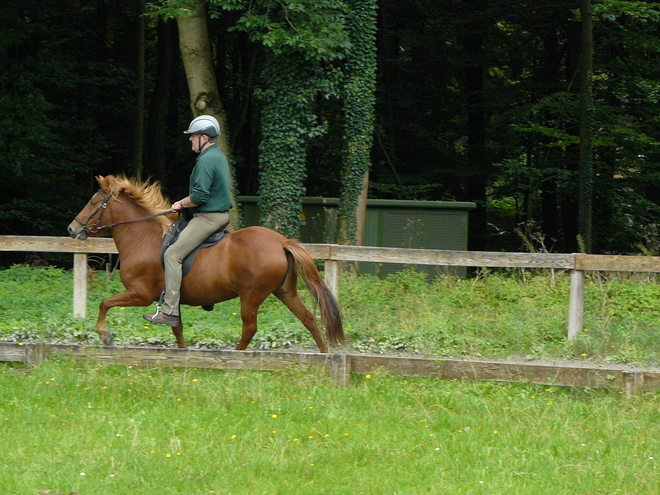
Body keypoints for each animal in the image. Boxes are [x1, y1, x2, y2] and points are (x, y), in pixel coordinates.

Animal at [67, 174, 346, 352]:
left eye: (93, 202)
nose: (71, 229)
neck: (142, 238)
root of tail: (281, 241)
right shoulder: (171, 300)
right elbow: (177, 329)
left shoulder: (140, 294)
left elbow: (105, 303)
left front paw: (105, 336)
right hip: (285, 291)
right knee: (309, 318)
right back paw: (325, 356)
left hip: (251, 295)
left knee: (250, 328)